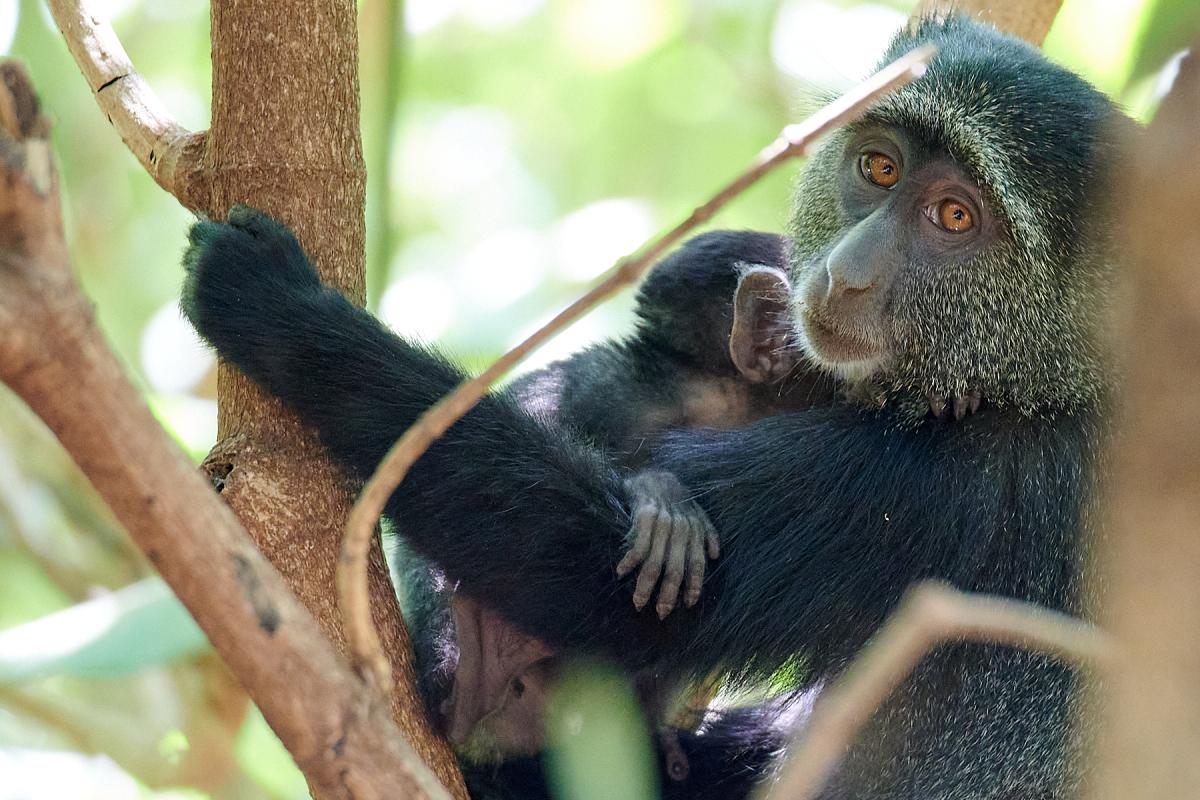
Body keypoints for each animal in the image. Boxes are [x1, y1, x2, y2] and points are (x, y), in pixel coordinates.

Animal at [180, 15, 1126, 800]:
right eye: (879, 168)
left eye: (955, 216)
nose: (849, 273)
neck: (1045, 381)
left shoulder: (964, 492)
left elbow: (588, 579)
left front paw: (282, 312)